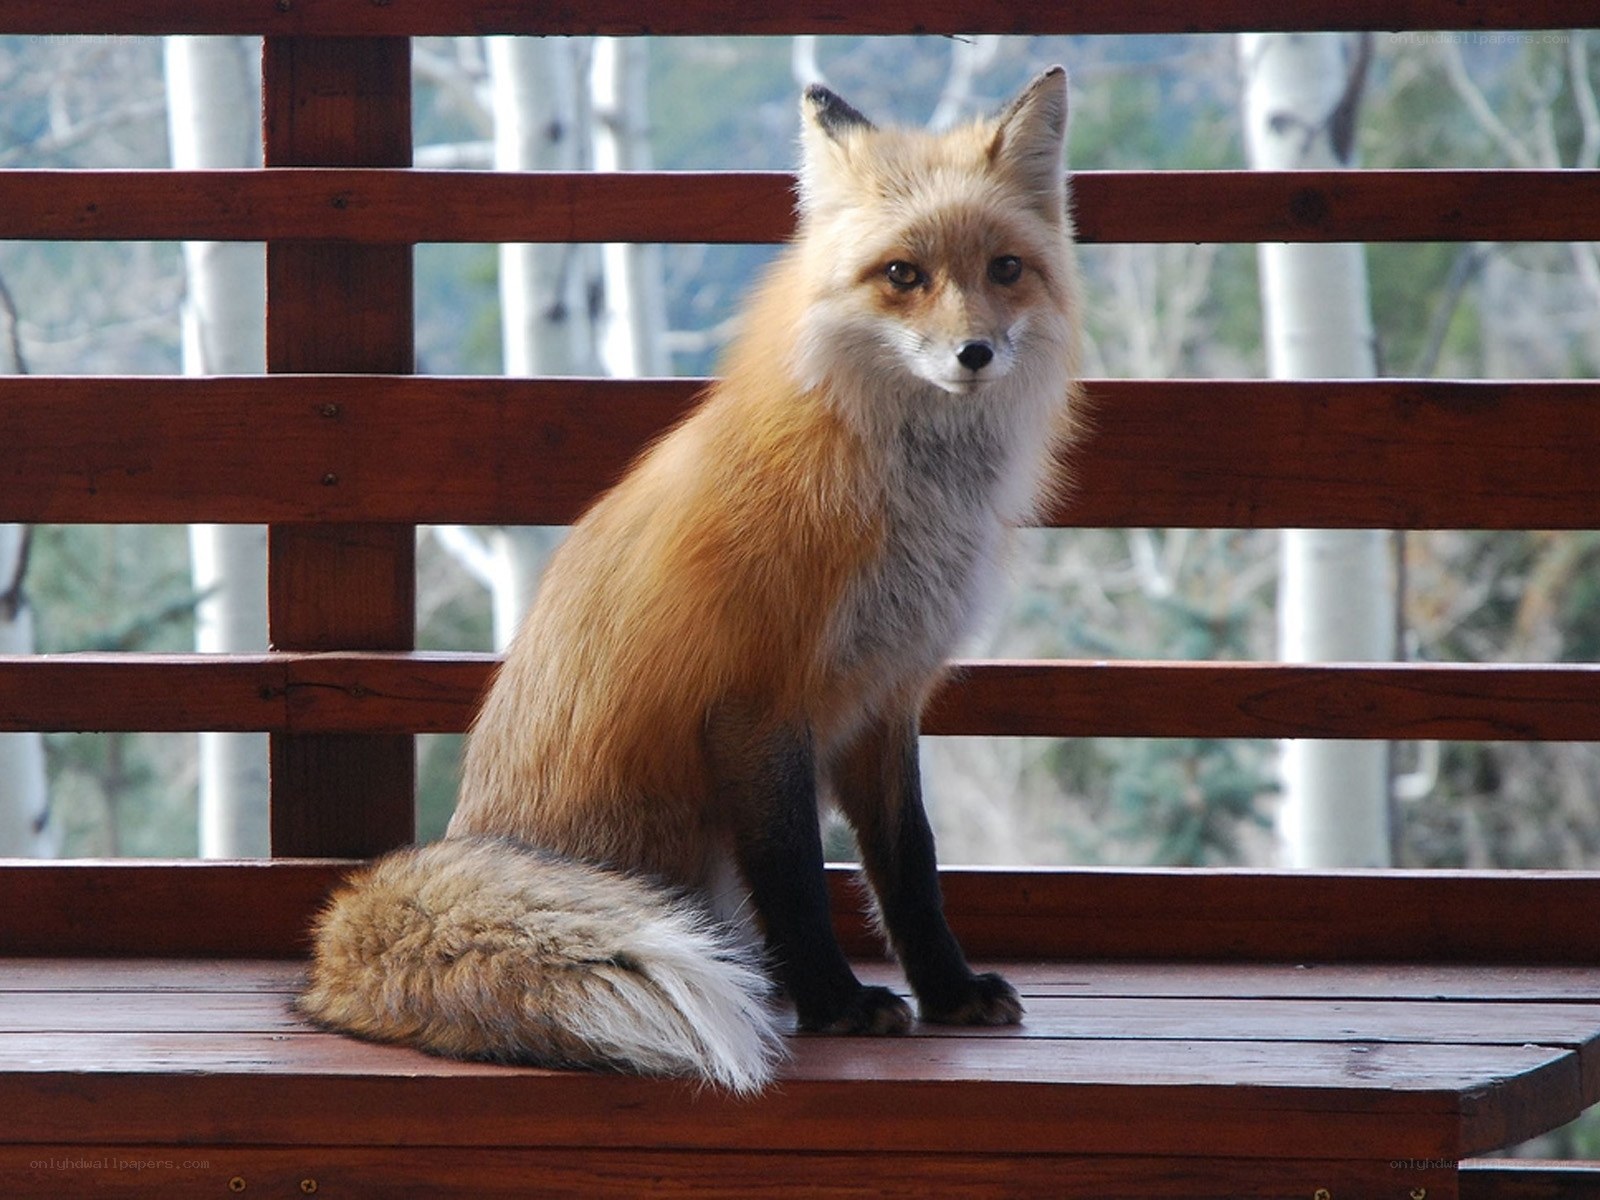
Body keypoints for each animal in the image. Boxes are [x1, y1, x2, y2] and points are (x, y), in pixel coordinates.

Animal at [299, 67, 1084, 1096]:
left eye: (1004, 269)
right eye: (903, 276)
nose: (975, 355)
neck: (897, 504)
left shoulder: (887, 695)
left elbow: (911, 867)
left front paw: (946, 992)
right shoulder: (757, 705)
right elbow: (796, 882)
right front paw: (836, 1004)